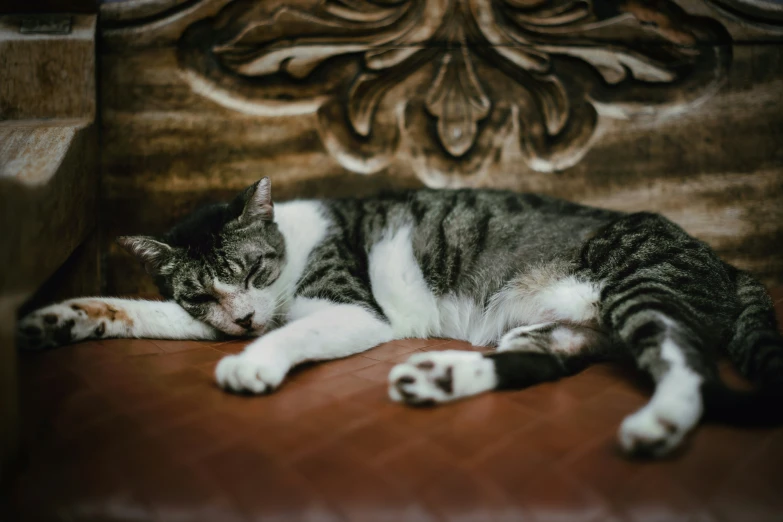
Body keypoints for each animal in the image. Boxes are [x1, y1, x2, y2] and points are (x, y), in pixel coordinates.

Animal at [18, 178, 783, 456]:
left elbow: (296, 328)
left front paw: (252, 362)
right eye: (202, 294)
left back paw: (660, 422)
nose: (238, 324)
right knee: (540, 361)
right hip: (559, 327)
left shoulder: (351, 310)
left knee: (685, 362)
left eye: (251, 270)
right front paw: (62, 318)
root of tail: (723, 262)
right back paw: (439, 378)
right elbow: (146, 310)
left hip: (642, 287)